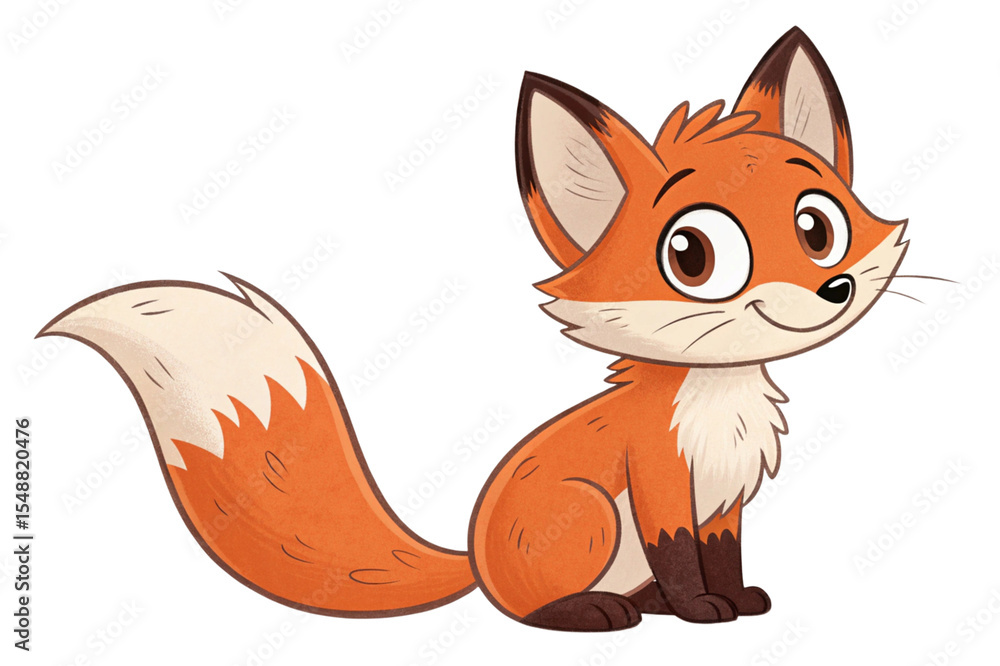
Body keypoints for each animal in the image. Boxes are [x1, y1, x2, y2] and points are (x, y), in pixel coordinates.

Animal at [42, 27, 906, 632]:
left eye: (817, 228)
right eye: (692, 254)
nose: (830, 290)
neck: (714, 399)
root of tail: (475, 558)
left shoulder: (723, 497)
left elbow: (721, 558)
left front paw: (733, 600)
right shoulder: (660, 481)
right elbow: (683, 562)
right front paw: (700, 610)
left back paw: (643, 608)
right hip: (591, 513)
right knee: (531, 608)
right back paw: (593, 613)